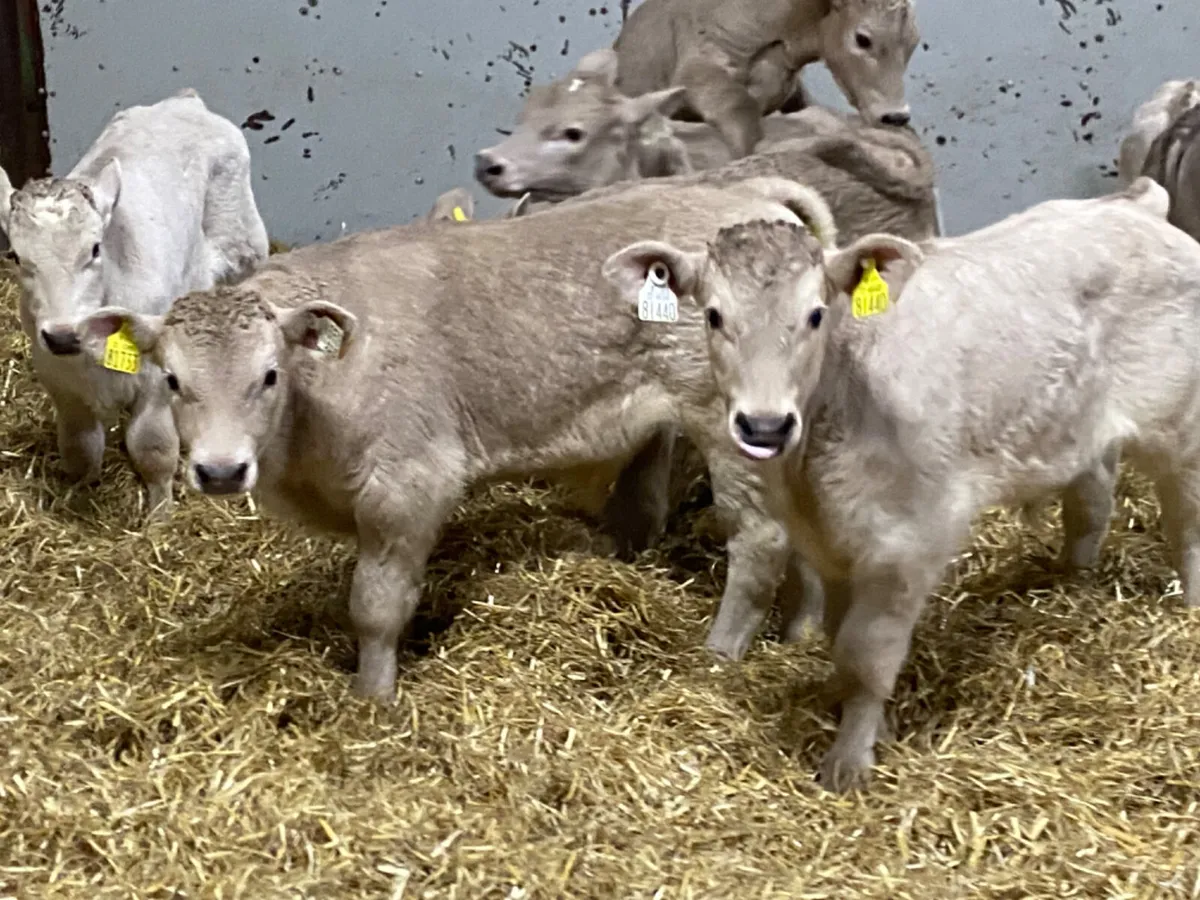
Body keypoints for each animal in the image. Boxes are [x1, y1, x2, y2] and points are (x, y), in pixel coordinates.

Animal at [0, 88, 269, 519]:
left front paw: (160, 516)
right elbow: (80, 448)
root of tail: (185, 102)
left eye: (95, 248)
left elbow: (152, 447)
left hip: (245, 249)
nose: (62, 335)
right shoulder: (58, 380)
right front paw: (80, 496)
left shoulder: (156, 379)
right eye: (15, 256)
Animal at [68, 176, 839, 702]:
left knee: (760, 541)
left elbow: (376, 606)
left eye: (268, 374)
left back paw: (719, 655)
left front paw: (372, 698)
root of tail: (741, 191)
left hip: (736, 430)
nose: (222, 471)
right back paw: (800, 633)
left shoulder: (408, 487)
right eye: (172, 379)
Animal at [602, 176, 1200, 792]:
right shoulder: (831, 547)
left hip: (1181, 425)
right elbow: (839, 640)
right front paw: (871, 728)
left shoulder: (910, 542)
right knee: (1092, 501)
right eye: (715, 316)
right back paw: (1071, 582)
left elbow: (865, 653)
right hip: (1078, 430)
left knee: (1186, 523)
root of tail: (1134, 207)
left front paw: (848, 764)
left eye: (816, 314)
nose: (764, 425)